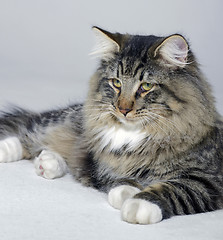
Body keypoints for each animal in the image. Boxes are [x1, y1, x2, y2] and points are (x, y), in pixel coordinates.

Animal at [0, 26, 223, 225]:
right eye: (116, 83)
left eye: (146, 86)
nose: (123, 109)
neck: (136, 135)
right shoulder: (107, 167)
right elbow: (122, 181)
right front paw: (127, 195)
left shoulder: (208, 180)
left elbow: (173, 189)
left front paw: (138, 205)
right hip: (63, 121)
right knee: (29, 129)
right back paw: (8, 150)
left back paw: (46, 163)